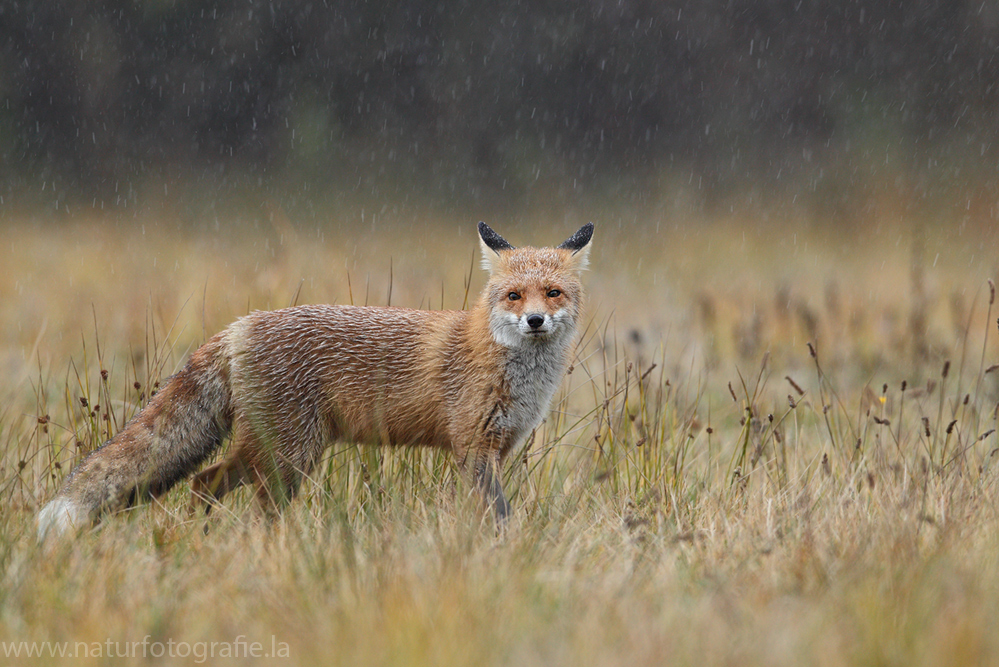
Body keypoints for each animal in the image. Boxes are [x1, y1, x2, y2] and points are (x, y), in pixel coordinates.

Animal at [39, 222, 592, 540]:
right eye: (514, 296)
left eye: (553, 292)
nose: (535, 322)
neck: (513, 373)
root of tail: (238, 325)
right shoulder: (473, 445)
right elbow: (500, 515)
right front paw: (507, 552)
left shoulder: (494, 448)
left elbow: (478, 512)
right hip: (290, 457)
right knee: (247, 504)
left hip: (274, 451)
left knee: (203, 481)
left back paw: (202, 543)